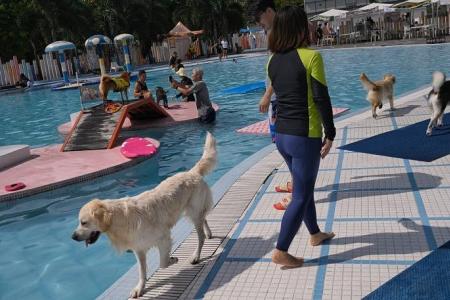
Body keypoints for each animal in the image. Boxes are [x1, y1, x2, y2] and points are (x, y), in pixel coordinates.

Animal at [71, 134, 216, 298]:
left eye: (83, 222)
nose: (73, 236)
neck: (121, 219)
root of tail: (192, 172)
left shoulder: (163, 238)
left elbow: (163, 263)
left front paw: (172, 259)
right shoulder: (138, 248)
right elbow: (142, 271)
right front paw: (140, 288)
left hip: (193, 211)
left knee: (200, 236)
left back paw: (197, 255)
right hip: (194, 212)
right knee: (203, 218)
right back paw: (209, 233)